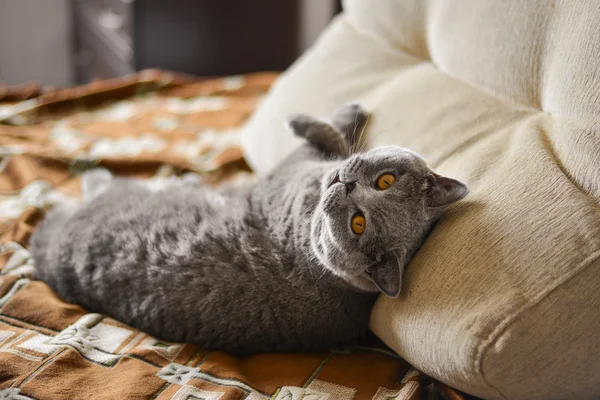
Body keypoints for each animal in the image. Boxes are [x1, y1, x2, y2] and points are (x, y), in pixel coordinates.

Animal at [29, 104, 468, 354]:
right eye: (385, 181)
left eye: (357, 224)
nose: (344, 186)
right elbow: (336, 138)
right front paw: (350, 115)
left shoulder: (289, 172)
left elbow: (321, 135)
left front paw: (304, 119)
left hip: (100, 205)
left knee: (91, 189)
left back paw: (85, 178)